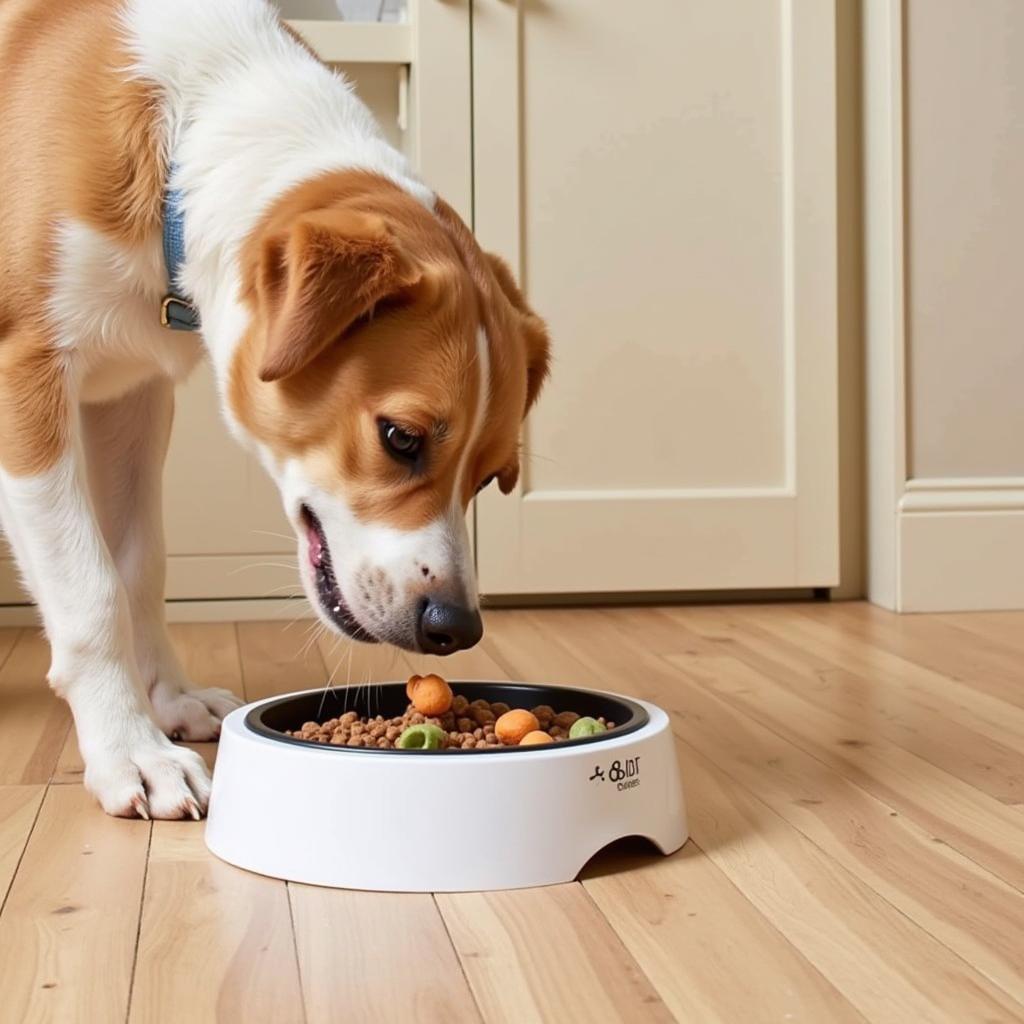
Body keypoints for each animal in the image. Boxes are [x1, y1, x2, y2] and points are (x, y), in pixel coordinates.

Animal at [0, 0, 552, 815]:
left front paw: (169, 700)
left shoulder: (133, 397)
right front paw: (131, 750)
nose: (455, 627)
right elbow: (91, 591)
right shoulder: (28, 378)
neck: (186, 134)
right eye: (400, 437)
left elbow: (140, 566)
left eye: (488, 477)